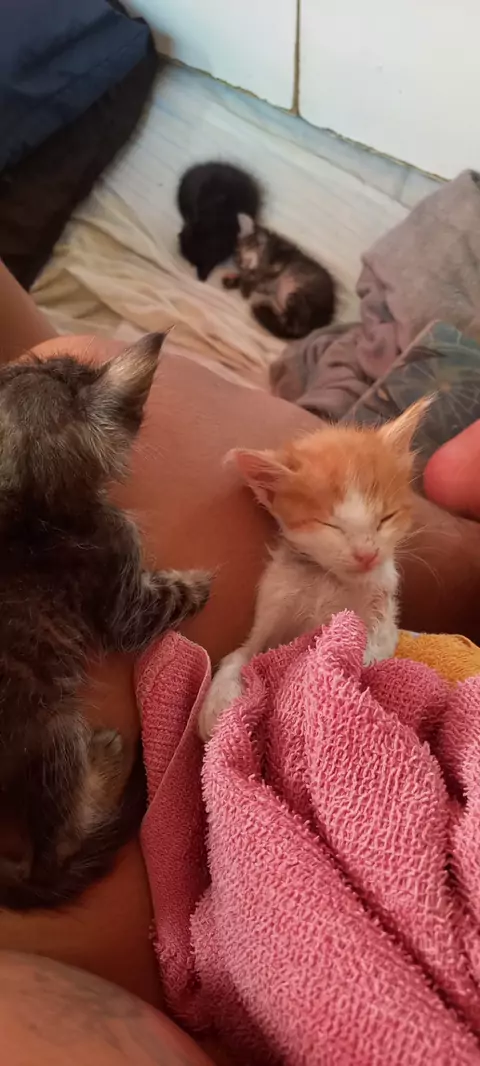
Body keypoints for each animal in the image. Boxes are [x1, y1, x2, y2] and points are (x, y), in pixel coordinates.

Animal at [0, 333, 211, 909]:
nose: (58, 354)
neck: (33, 510)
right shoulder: (123, 590)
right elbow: (164, 604)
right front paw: (200, 584)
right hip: (54, 730)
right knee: (63, 840)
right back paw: (108, 756)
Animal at [198, 399, 429, 741]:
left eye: (385, 518)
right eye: (330, 525)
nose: (367, 554)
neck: (328, 578)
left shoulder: (383, 606)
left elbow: (377, 646)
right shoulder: (275, 600)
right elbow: (244, 653)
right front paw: (220, 702)